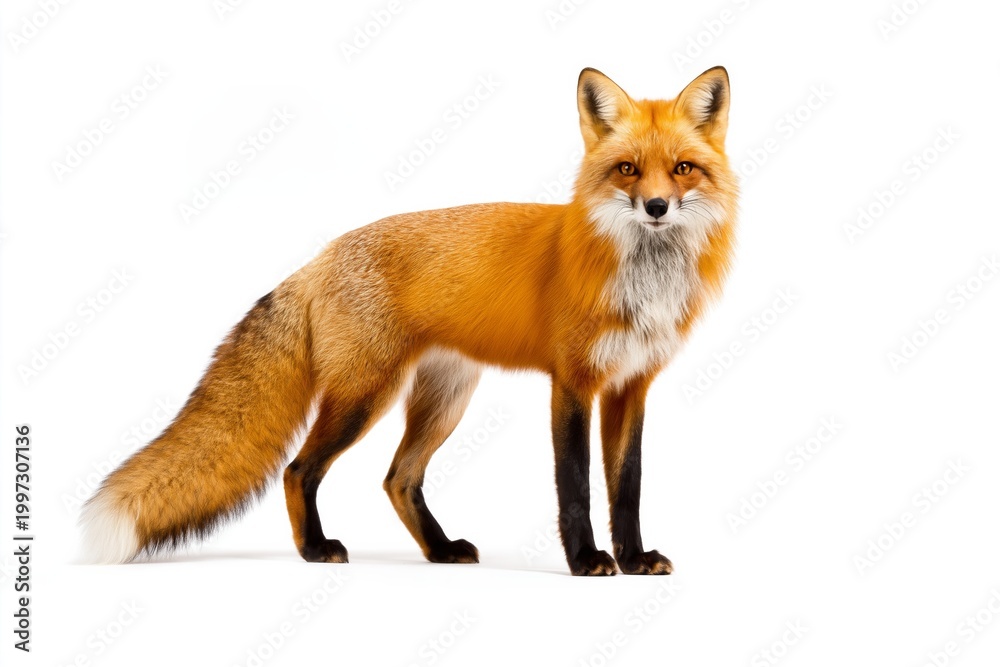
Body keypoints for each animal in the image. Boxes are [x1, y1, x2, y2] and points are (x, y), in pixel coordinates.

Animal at [81, 66, 738, 576]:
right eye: (628, 170)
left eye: (682, 169)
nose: (656, 207)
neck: (642, 280)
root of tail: (319, 258)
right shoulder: (573, 382)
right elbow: (574, 485)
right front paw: (586, 561)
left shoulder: (631, 385)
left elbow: (627, 487)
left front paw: (633, 558)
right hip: (365, 395)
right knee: (299, 470)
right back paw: (315, 549)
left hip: (445, 398)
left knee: (398, 479)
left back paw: (439, 550)